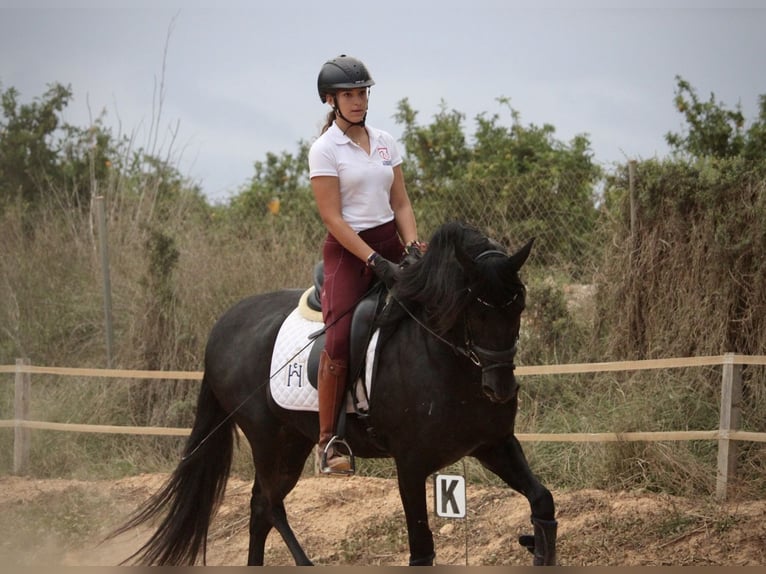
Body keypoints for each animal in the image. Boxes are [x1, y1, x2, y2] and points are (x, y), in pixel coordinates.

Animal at [112, 220, 560, 568]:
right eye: (474, 307)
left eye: (518, 305)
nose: (500, 389)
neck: (443, 358)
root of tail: (223, 324)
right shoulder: (411, 465)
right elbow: (421, 552)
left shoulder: (493, 444)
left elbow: (543, 502)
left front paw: (537, 545)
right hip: (269, 440)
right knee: (269, 505)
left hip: (292, 441)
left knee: (259, 508)